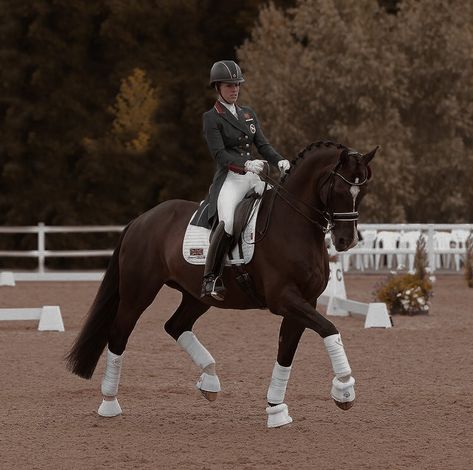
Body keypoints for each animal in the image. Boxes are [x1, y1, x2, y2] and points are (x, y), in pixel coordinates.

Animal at [66, 139, 376, 426]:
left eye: (362, 192)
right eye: (340, 190)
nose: (346, 241)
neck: (293, 225)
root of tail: (140, 220)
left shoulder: (304, 302)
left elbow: (286, 351)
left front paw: (276, 410)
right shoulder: (284, 299)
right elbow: (330, 329)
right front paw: (344, 390)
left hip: (197, 296)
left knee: (175, 325)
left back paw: (210, 381)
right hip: (137, 294)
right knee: (118, 335)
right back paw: (109, 404)